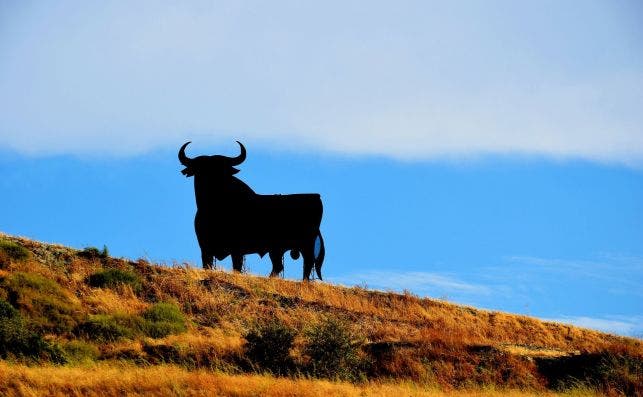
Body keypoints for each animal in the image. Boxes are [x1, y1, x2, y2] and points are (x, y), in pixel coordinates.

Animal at [179, 141, 324, 280]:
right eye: (200, 169)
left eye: (221, 169)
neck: (214, 208)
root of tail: (316, 197)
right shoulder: (205, 248)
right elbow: (207, 265)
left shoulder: (237, 249)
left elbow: (236, 267)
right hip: (277, 249)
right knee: (279, 266)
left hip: (306, 245)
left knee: (307, 263)